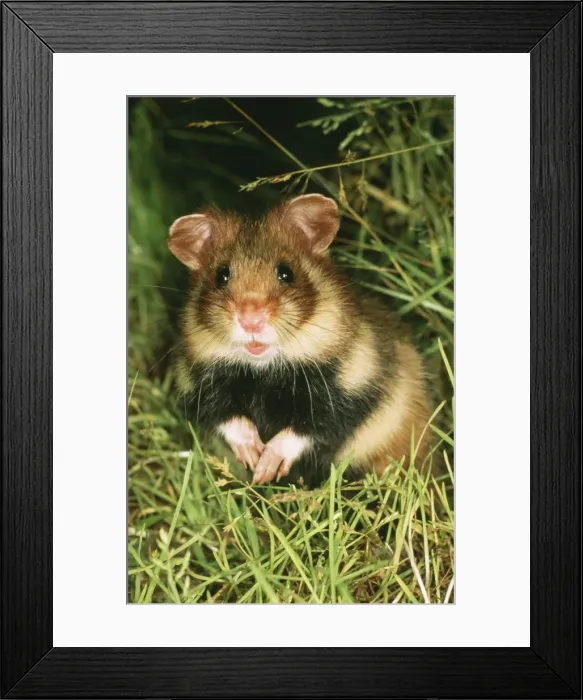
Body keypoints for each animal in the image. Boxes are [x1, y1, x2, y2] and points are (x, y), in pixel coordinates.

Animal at [168, 194, 432, 486]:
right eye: (221, 275)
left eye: (286, 273)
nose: (251, 320)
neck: (264, 369)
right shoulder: (197, 385)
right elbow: (228, 419)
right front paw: (253, 459)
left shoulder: (350, 388)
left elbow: (306, 429)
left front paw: (266, 468)